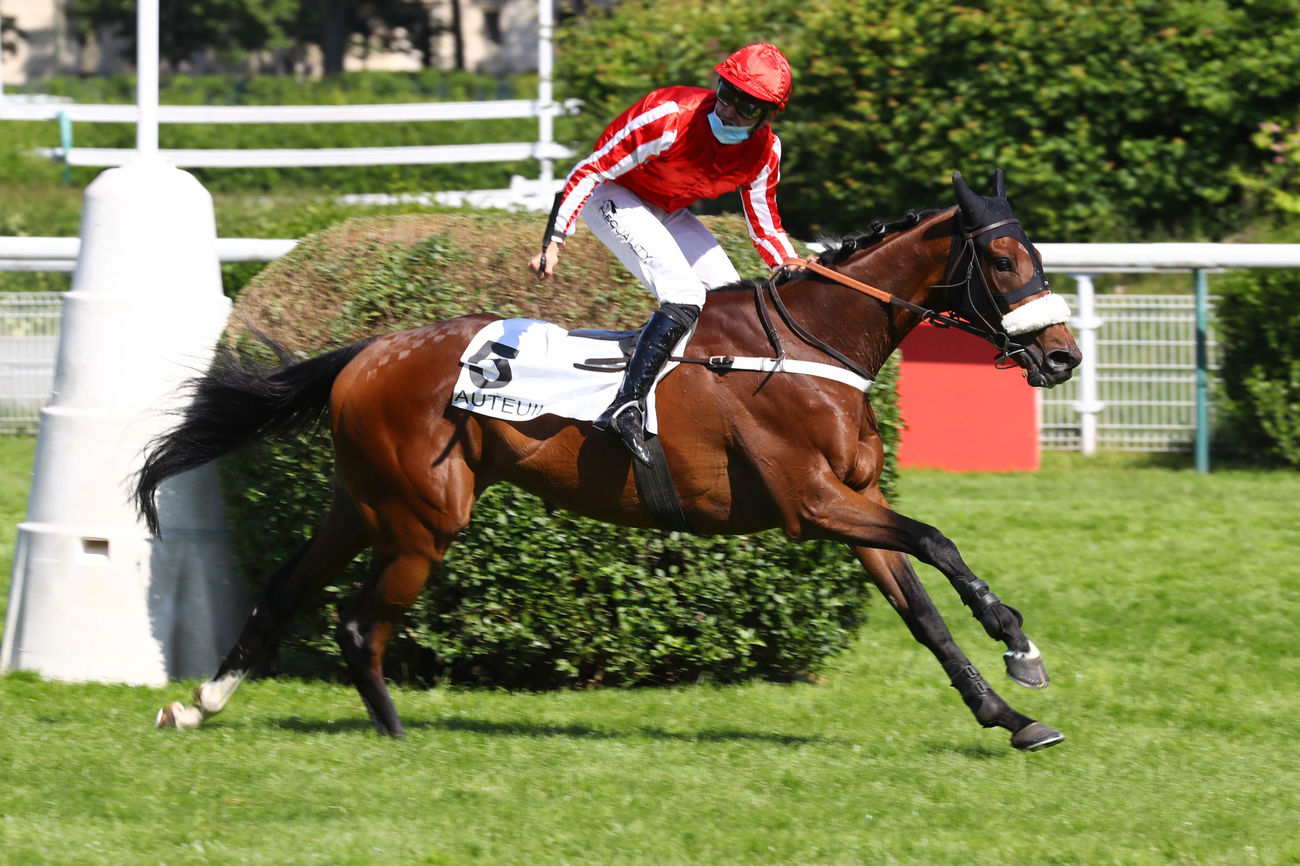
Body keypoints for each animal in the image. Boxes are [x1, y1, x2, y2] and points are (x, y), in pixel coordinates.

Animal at [137, 169, 1081, 748]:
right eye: (1003, 258)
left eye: (1039, 254)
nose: (1064, 355)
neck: (817, 345)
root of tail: (369, 353)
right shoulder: (811, 504)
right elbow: (939, 541)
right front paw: (1017, 644)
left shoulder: (851, 508)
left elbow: (923, 613)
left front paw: (1006, 714)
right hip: (423, 517)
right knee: (360, 622)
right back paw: (397, 736)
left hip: (361, 503)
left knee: (286, 591)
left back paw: (201, 704)